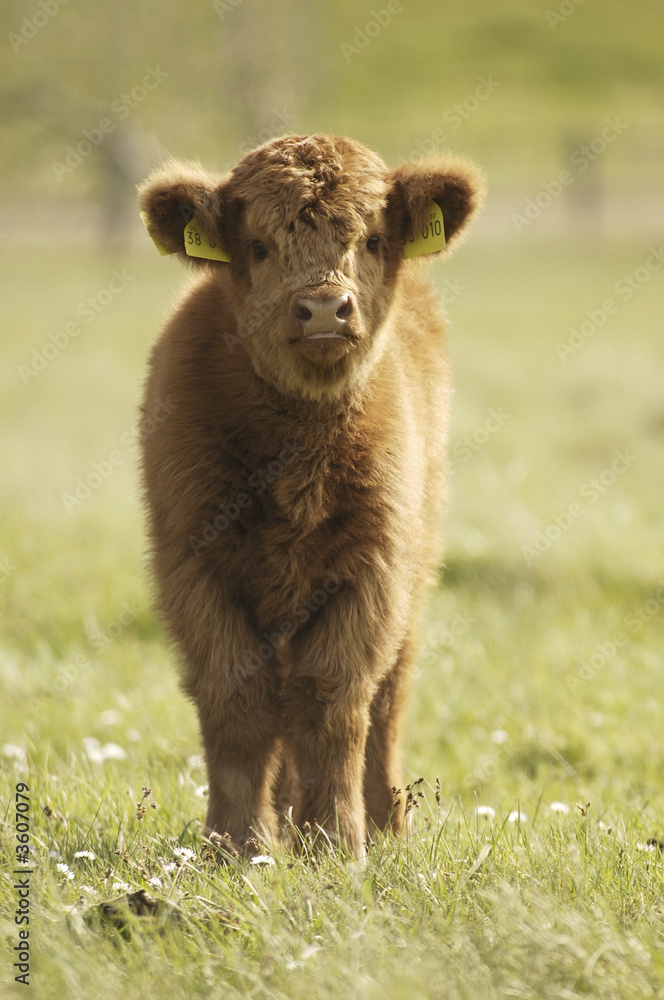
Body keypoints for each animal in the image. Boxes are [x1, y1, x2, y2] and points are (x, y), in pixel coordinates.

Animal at [138, 133, 484, 859]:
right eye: (258, 245)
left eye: (373, 238)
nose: (325, 308)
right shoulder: (194, 568)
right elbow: (236, 701)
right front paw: (236, 846)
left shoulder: (372, 573)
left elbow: (333, 701)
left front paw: (336, 845)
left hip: (414, 578)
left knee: (385, 700)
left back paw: (382, 827)